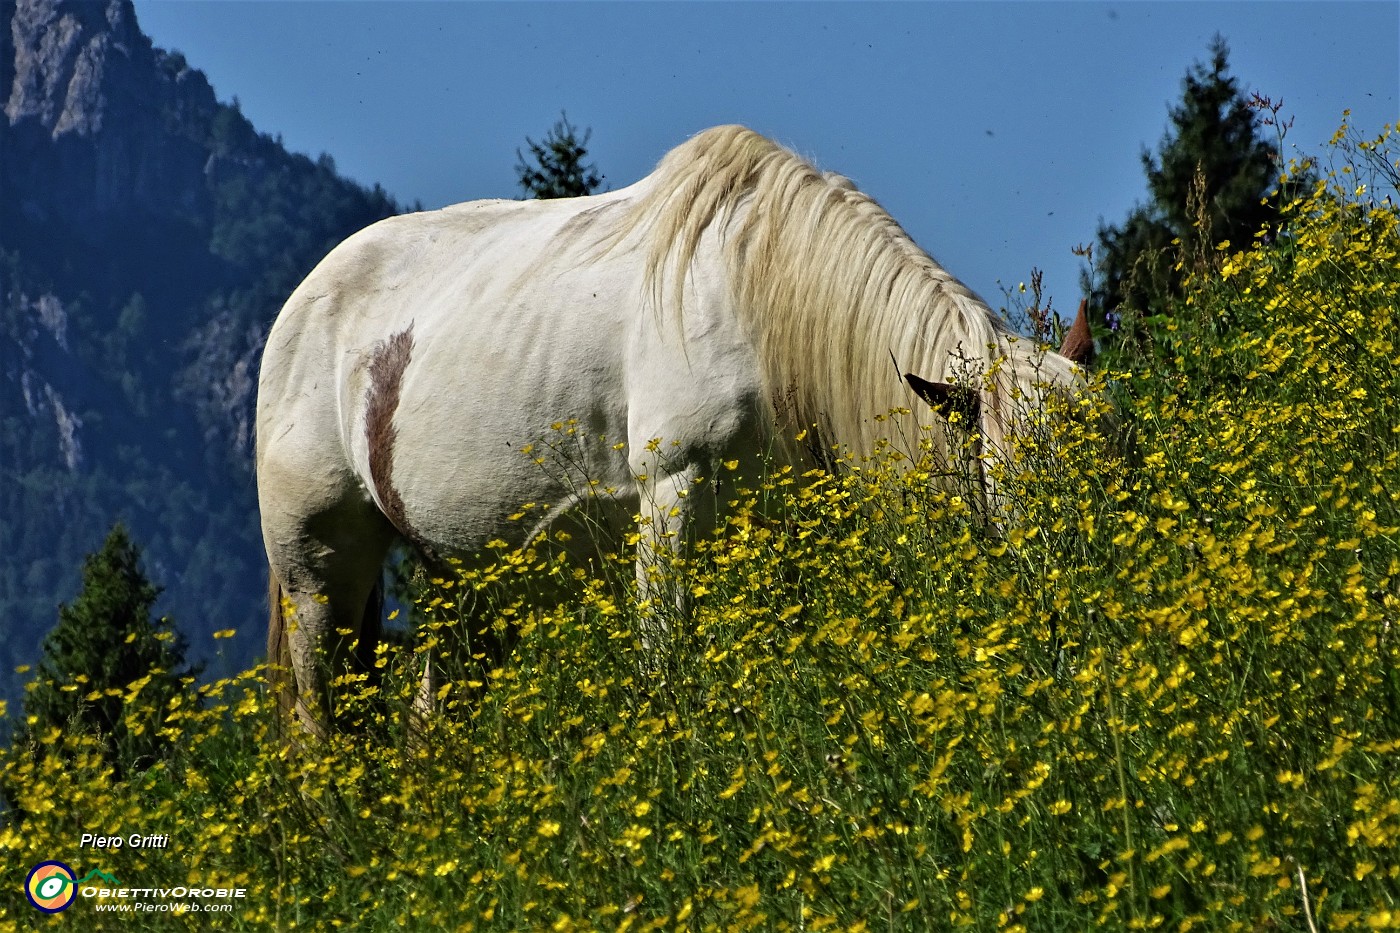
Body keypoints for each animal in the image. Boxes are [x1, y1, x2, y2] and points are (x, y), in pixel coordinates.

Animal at [260, 123, 1092, 734]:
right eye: (1008, 470)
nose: (1078, 597)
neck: (761, 302)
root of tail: (302, 304)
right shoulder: (673, 495)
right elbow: (667, 659)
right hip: (318, 577)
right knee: (322, 720)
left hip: (462, 579)